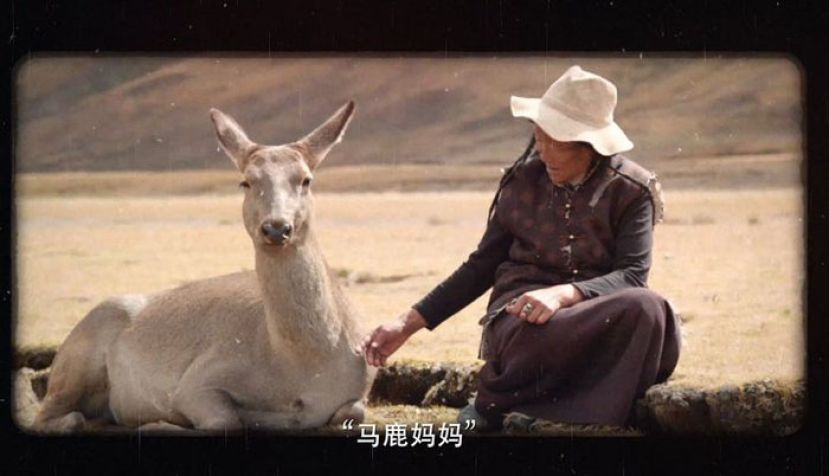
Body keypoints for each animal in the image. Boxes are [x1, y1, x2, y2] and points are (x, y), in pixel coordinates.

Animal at [33, 101, 376, 433]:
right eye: (246, 181)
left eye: (306, 179)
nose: (276, 228)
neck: (301, 361)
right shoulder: (196, 384)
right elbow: (225, 420)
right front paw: (162, 422)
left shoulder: (357, 392)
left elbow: (353, 411)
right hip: (73, 373)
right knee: (57, 417)